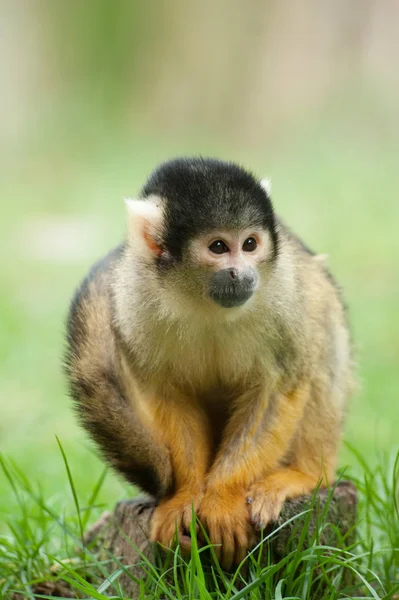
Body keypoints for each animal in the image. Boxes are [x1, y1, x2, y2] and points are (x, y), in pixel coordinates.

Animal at [65, 157, 354, 568]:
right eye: (218, 247)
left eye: (250, 244)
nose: (243, 273)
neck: (202, 299)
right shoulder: (133, 296)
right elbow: (168, 395)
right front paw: (184, 496)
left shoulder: (284, 291)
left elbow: (279, 387)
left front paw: (222, 498)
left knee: (322, 329)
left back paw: (305, 474)